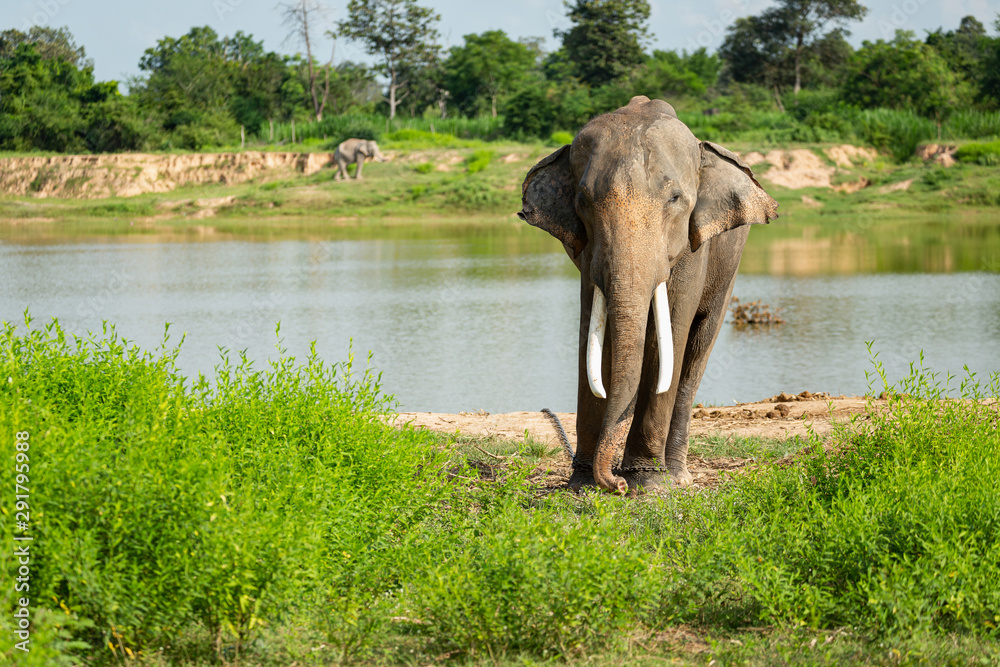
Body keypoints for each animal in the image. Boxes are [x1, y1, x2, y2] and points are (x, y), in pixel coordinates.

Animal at [518, 96, 778, 494]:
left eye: (675, 198)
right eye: (582, 201)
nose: (617, 484)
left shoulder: (692, 249)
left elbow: (667, 337)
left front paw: (648, 484)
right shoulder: (588, 256)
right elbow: (593, 336)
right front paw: (583, 485)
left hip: (728, 271)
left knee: (695, 353)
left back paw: (677, 476)